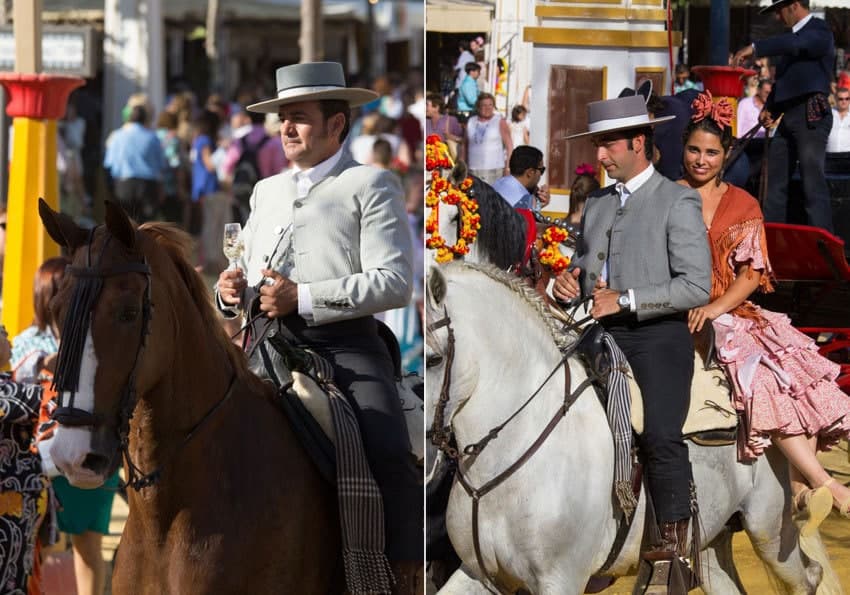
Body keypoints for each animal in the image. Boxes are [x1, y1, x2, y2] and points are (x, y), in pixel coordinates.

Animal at [424, 264, 820, 595]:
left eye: (432, 359)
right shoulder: (479, 574)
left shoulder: (561, 581)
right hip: (711, 543)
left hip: (770, 530)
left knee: (809, 576)